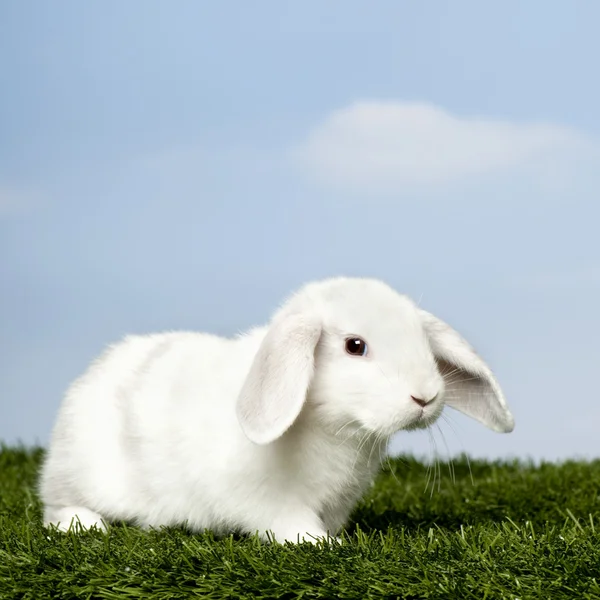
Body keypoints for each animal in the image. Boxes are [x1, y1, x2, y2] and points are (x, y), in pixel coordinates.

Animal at [39, 276, 512, 544]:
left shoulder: (337, 503)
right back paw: (86, 525)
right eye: (354, 345)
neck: (332, 428)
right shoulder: (269, 500)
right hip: (82, 476)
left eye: (423, 342)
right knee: (55, 508)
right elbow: (292, 524)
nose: (425, 397)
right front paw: (321, 544)